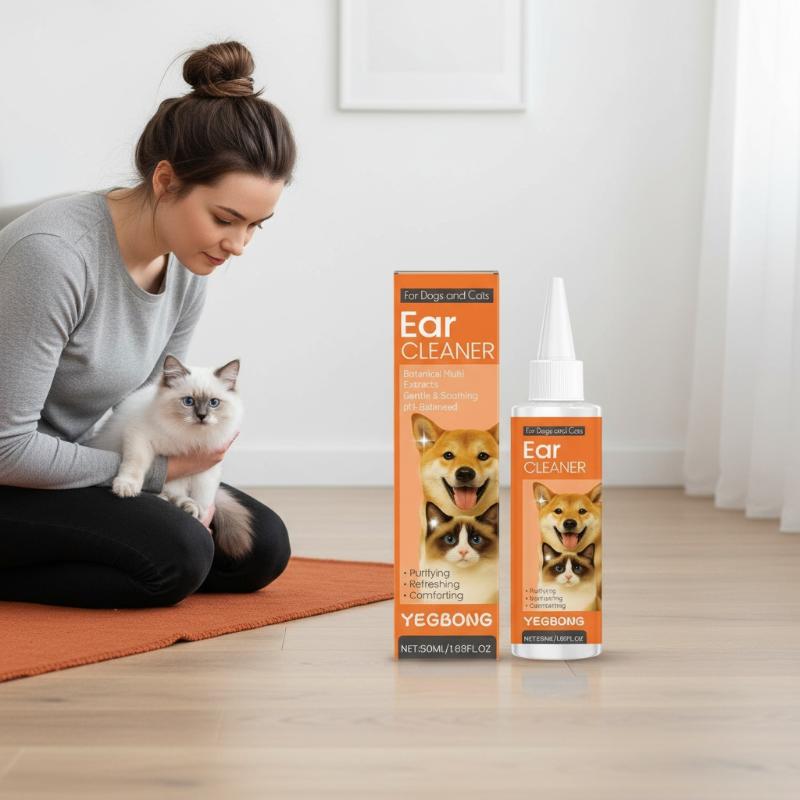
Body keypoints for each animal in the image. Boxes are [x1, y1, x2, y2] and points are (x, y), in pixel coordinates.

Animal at [86, 354, 254, 560]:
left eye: (214, 403)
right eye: (188, 401)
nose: (201, 416)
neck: (188, 437)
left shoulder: (207, 468)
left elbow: (204, 498)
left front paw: (201, 518)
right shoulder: (140, 438)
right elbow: (134, 465)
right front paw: (126, 488)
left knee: (180, 497)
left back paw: (189, 507)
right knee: (165, 495)